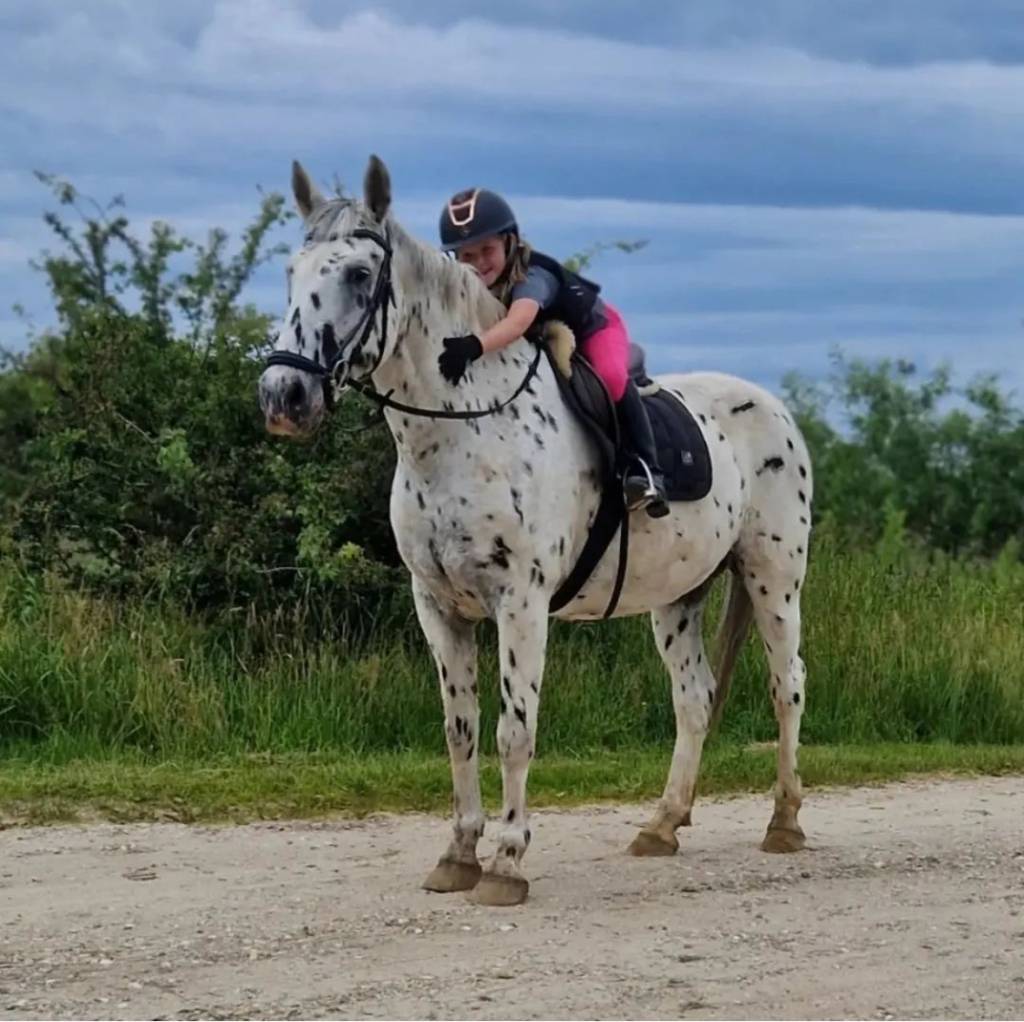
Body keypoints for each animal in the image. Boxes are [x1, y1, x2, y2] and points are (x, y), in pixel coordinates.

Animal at [260, 155, 811, 909]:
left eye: (359, 276)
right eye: (292, 270)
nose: (283, 397)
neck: (459, 430)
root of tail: (774, 405)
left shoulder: (520, 603)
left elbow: (513, 729)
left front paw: (507, 863)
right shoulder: (437, 607)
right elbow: (459, 730)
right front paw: (459, 854)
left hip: (773, 580)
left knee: (787, 685)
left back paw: (784, 821)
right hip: (678, 596)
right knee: (694, 699)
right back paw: (662, 825)